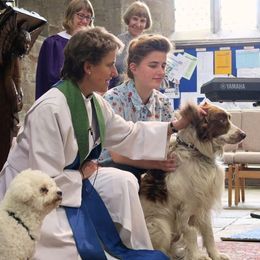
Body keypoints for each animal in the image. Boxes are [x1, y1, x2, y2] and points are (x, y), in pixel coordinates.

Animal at [140, 102, 246, 258]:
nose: (244, 134)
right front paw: (197, 256)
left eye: (229, 118)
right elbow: (191, 232)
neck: (195, 151)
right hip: (159, 224)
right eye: (221, 120)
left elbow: (209, 233)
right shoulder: (185, 207)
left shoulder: (204, 206)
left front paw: (216, 255)